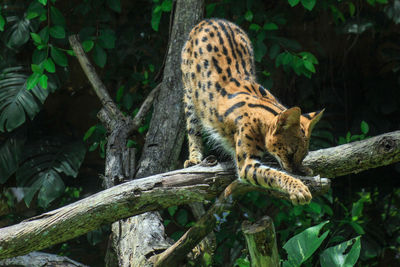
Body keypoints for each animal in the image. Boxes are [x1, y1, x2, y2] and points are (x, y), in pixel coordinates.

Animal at [181, 18, 324, 206]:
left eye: (304, 154)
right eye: (290, 152)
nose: (295, 169)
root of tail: (210, 20)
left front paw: (304, 170)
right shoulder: (246, 165)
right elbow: (274, 174)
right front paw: (298, 188)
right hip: (189, 95)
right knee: (193, 129)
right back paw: (194, 158)